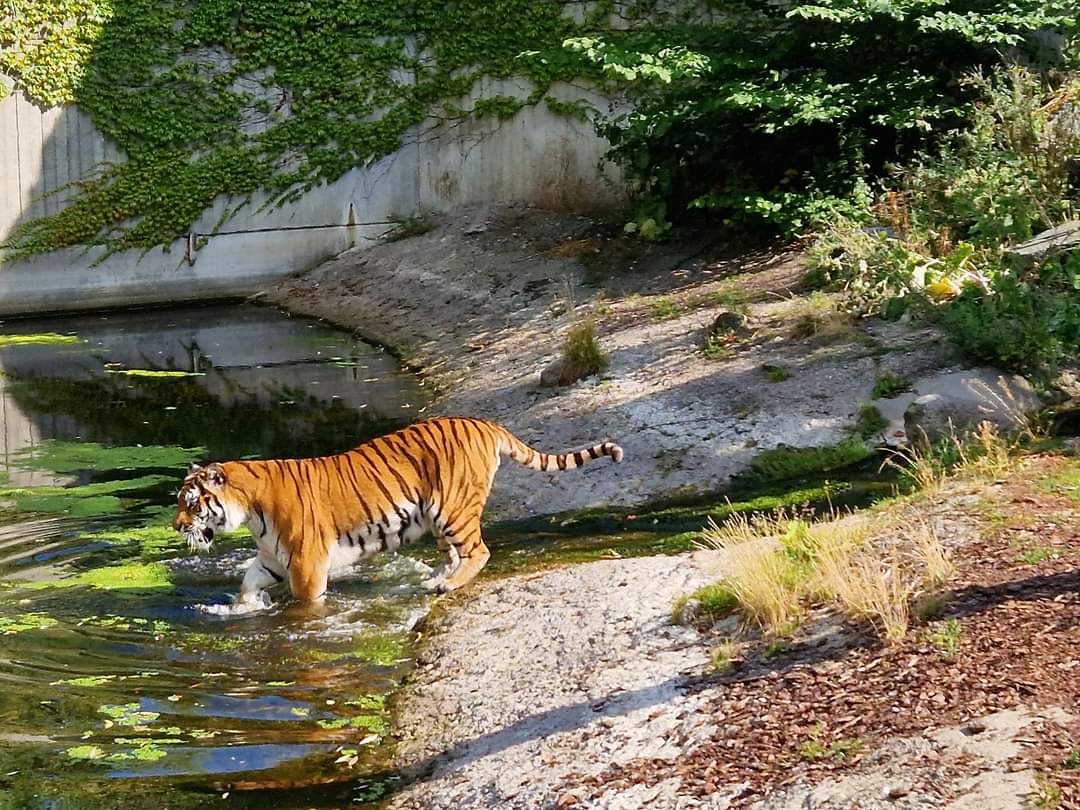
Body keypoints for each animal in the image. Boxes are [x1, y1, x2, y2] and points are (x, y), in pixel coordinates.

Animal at [172, 416, 624, 605]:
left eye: (190, 503)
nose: (177, 527)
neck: (249, 509)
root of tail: (484, 423)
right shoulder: (272, 557)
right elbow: (248, 583)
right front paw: (242, 608)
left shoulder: (305, 562)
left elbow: (307, 603)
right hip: (439, 519)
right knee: (456, 553)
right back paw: (435, 580)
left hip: (452, 508)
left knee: (479, 551)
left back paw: (447, 586)